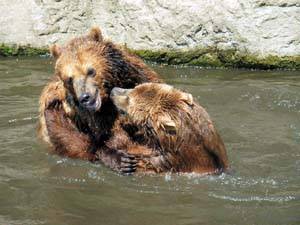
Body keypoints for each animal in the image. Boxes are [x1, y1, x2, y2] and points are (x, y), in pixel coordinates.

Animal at [38, 26, 161, 174]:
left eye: (90, 71)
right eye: (69, 79)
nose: (85, 97)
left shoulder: (139, 79)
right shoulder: (81, 115)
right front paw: (121, 160)